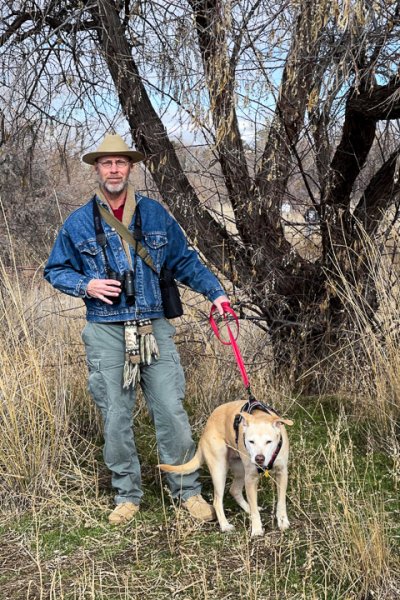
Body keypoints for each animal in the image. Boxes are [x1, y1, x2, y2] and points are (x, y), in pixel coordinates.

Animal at [159, 400, 294, 536]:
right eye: (251, 441)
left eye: (269, 441)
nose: (259, 458)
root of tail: (206, 429)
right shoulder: (251, 478)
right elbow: (255, 511)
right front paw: (256, 529)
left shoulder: (282, 473)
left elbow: (281, 502)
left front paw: (282, 521)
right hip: (220, 470)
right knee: (217, 501)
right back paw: (225, 525)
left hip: (240, 470)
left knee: (234, 490)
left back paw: (247, 509)